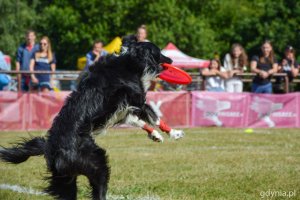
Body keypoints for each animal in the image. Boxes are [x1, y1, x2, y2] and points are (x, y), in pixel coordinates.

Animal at [0, 42, 184, 200]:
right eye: (159, 51)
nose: (171, 60)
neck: (130, 62)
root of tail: (51, 148)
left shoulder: (123, 110)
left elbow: (141, 121)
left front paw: (156, 135)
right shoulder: (136, 101)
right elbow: (154, 117)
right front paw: (174, 133)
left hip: (65, 180)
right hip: (96, 163)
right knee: (99, 188)